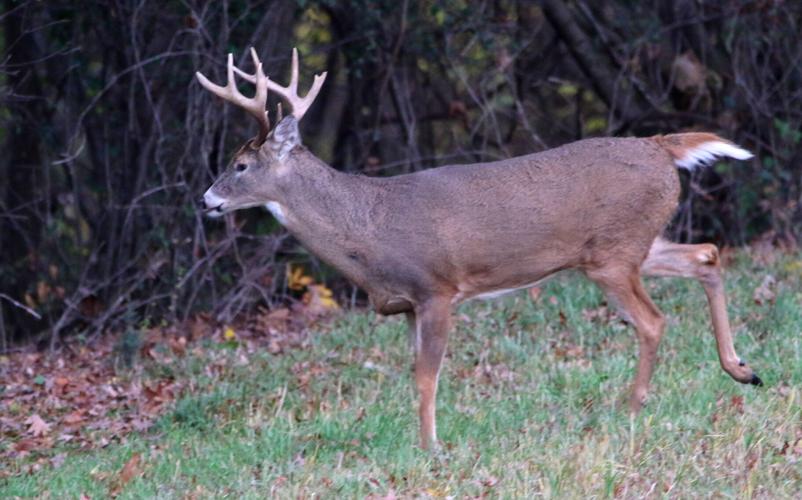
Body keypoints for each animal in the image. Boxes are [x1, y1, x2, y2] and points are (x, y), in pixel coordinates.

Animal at [196, 48, 762, 450]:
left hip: (613, 256)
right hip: (632, 244)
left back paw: (631, 409)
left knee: (653, 320)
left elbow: (427, 375)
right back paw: (742, 369)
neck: (369, 229)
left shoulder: (437, 288)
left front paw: (432, 449)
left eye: (240, 166)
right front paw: (423, 442)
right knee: (707, 254)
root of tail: (660, 147)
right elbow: (414, 373)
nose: (206, 200)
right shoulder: (407, 305)